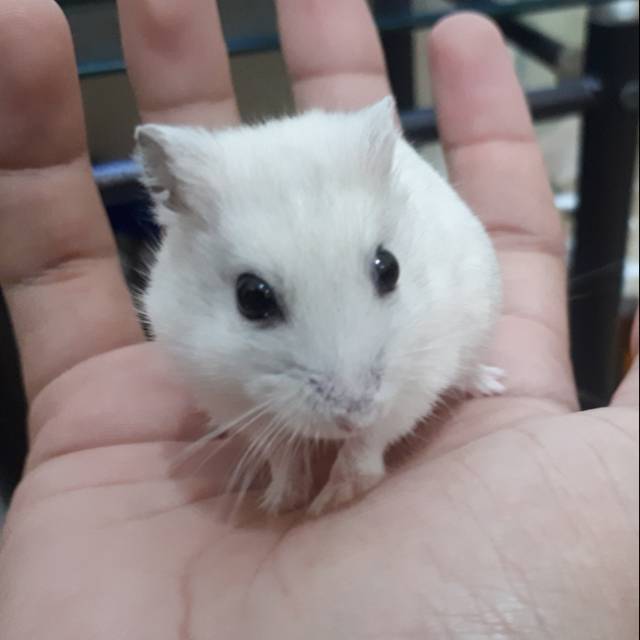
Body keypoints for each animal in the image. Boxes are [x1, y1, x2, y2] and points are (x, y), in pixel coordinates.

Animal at [135, 97, 504, 515]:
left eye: (390, 268)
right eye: (252, 297)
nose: (354, 413)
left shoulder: (419, 375)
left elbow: (368, 444)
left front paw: (329, 501)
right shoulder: (226, 393)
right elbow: (280, 453)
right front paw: (280, 502)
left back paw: (490, 383)